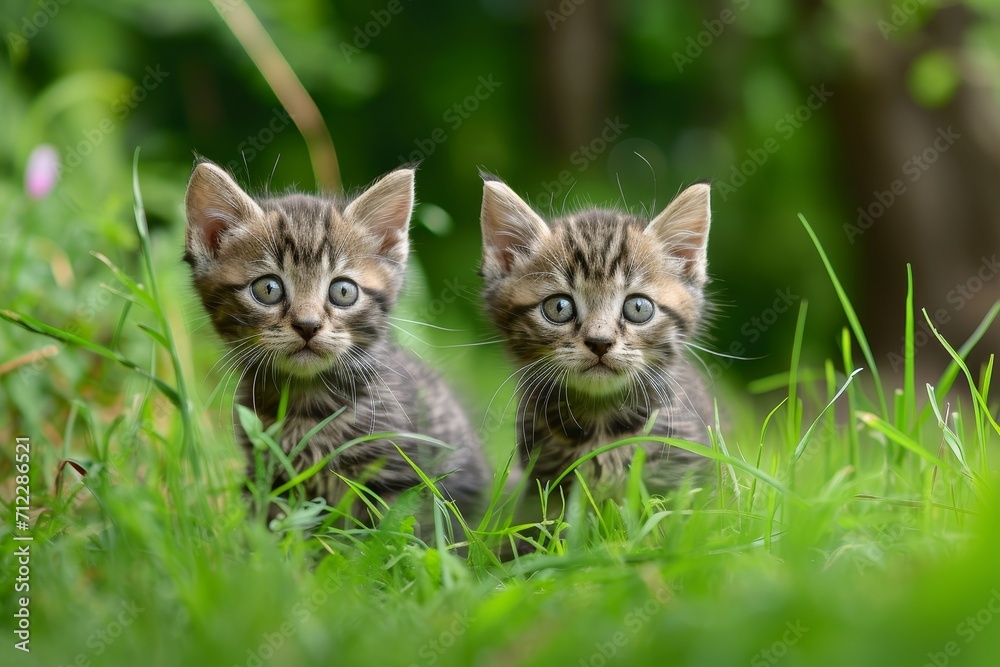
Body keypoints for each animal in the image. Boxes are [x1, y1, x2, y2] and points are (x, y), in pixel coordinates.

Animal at [186, 160, 490, 528]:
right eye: (268, 288)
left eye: (343, 291)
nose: (308, 325)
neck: (307, 403)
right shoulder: (268, 473)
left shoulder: (397, 476)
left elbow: (396, 534)